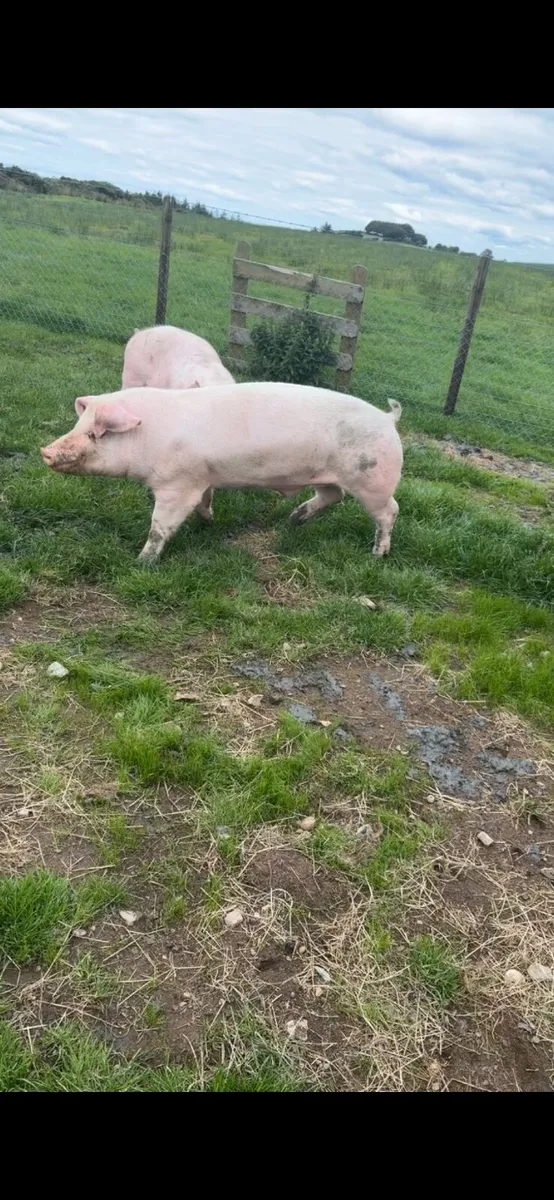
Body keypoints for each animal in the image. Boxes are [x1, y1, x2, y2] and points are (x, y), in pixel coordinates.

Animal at [40, 383, 403, 564]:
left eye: (96, 434)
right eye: (79, 425)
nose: (45, 451)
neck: (150, 435)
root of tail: (389, 419)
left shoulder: (176, 484)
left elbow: (160, 526)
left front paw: (141, 561)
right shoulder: (201, 478)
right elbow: (205, 501)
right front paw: (209, 522)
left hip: (373, 480)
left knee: (389, 511)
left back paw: (378, 554)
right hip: (328, 476)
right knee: (332, 495)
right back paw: (293, 520)